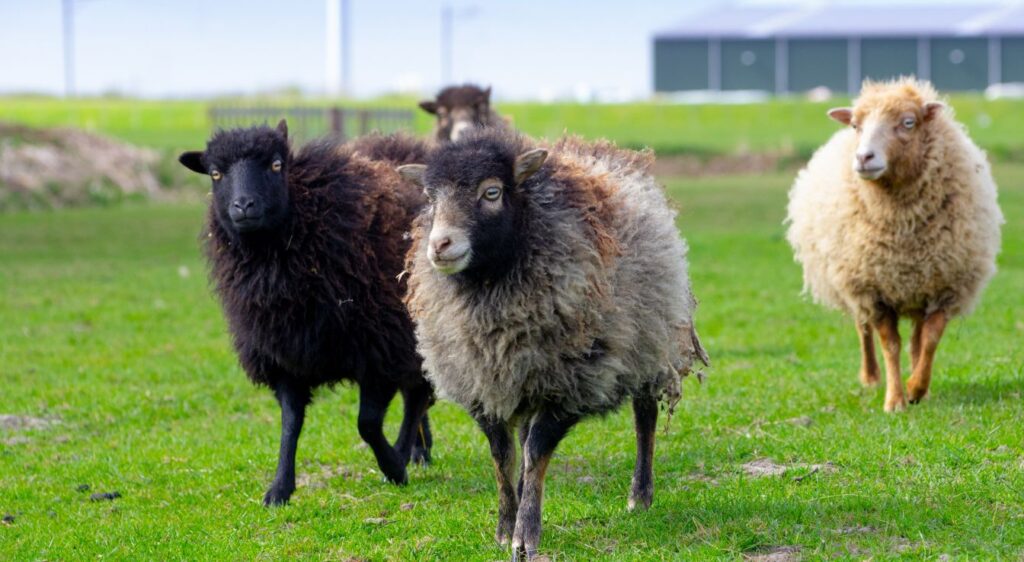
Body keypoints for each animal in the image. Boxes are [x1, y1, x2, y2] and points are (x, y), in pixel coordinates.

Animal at [178, 121, 434, 506]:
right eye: (215, 173)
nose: (243, 205)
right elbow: (290, 423)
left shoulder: (379, 347)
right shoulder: (283, 354)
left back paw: (408, 452)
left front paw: (393, 466)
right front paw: (280, 488)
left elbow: (367, 423)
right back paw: (419, 449)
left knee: (417, 397)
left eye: (276, 164)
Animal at [397, 128, 708, 560]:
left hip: (646, 341)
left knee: (644, 417)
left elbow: (536, 451)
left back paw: (640, 495)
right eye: (429, 197)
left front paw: (525, 535)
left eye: (491, 192)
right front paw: (504, 525)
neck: (490, 289)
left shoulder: (569, 381)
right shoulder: (482, 382)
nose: (440, 245)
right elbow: (503, 456)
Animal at [786, 78, 1003, 412]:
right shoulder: (873, 292)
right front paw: (894, 400)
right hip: (853, 279)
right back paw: (870, 376)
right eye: (855, 125)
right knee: (863, 329)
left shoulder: (946, 287)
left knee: (916, 340)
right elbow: (889, 344)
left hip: (917, 289)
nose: (864, 158)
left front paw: (916, 388)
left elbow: (929, 341)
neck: (903, 228)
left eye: (908, 122)